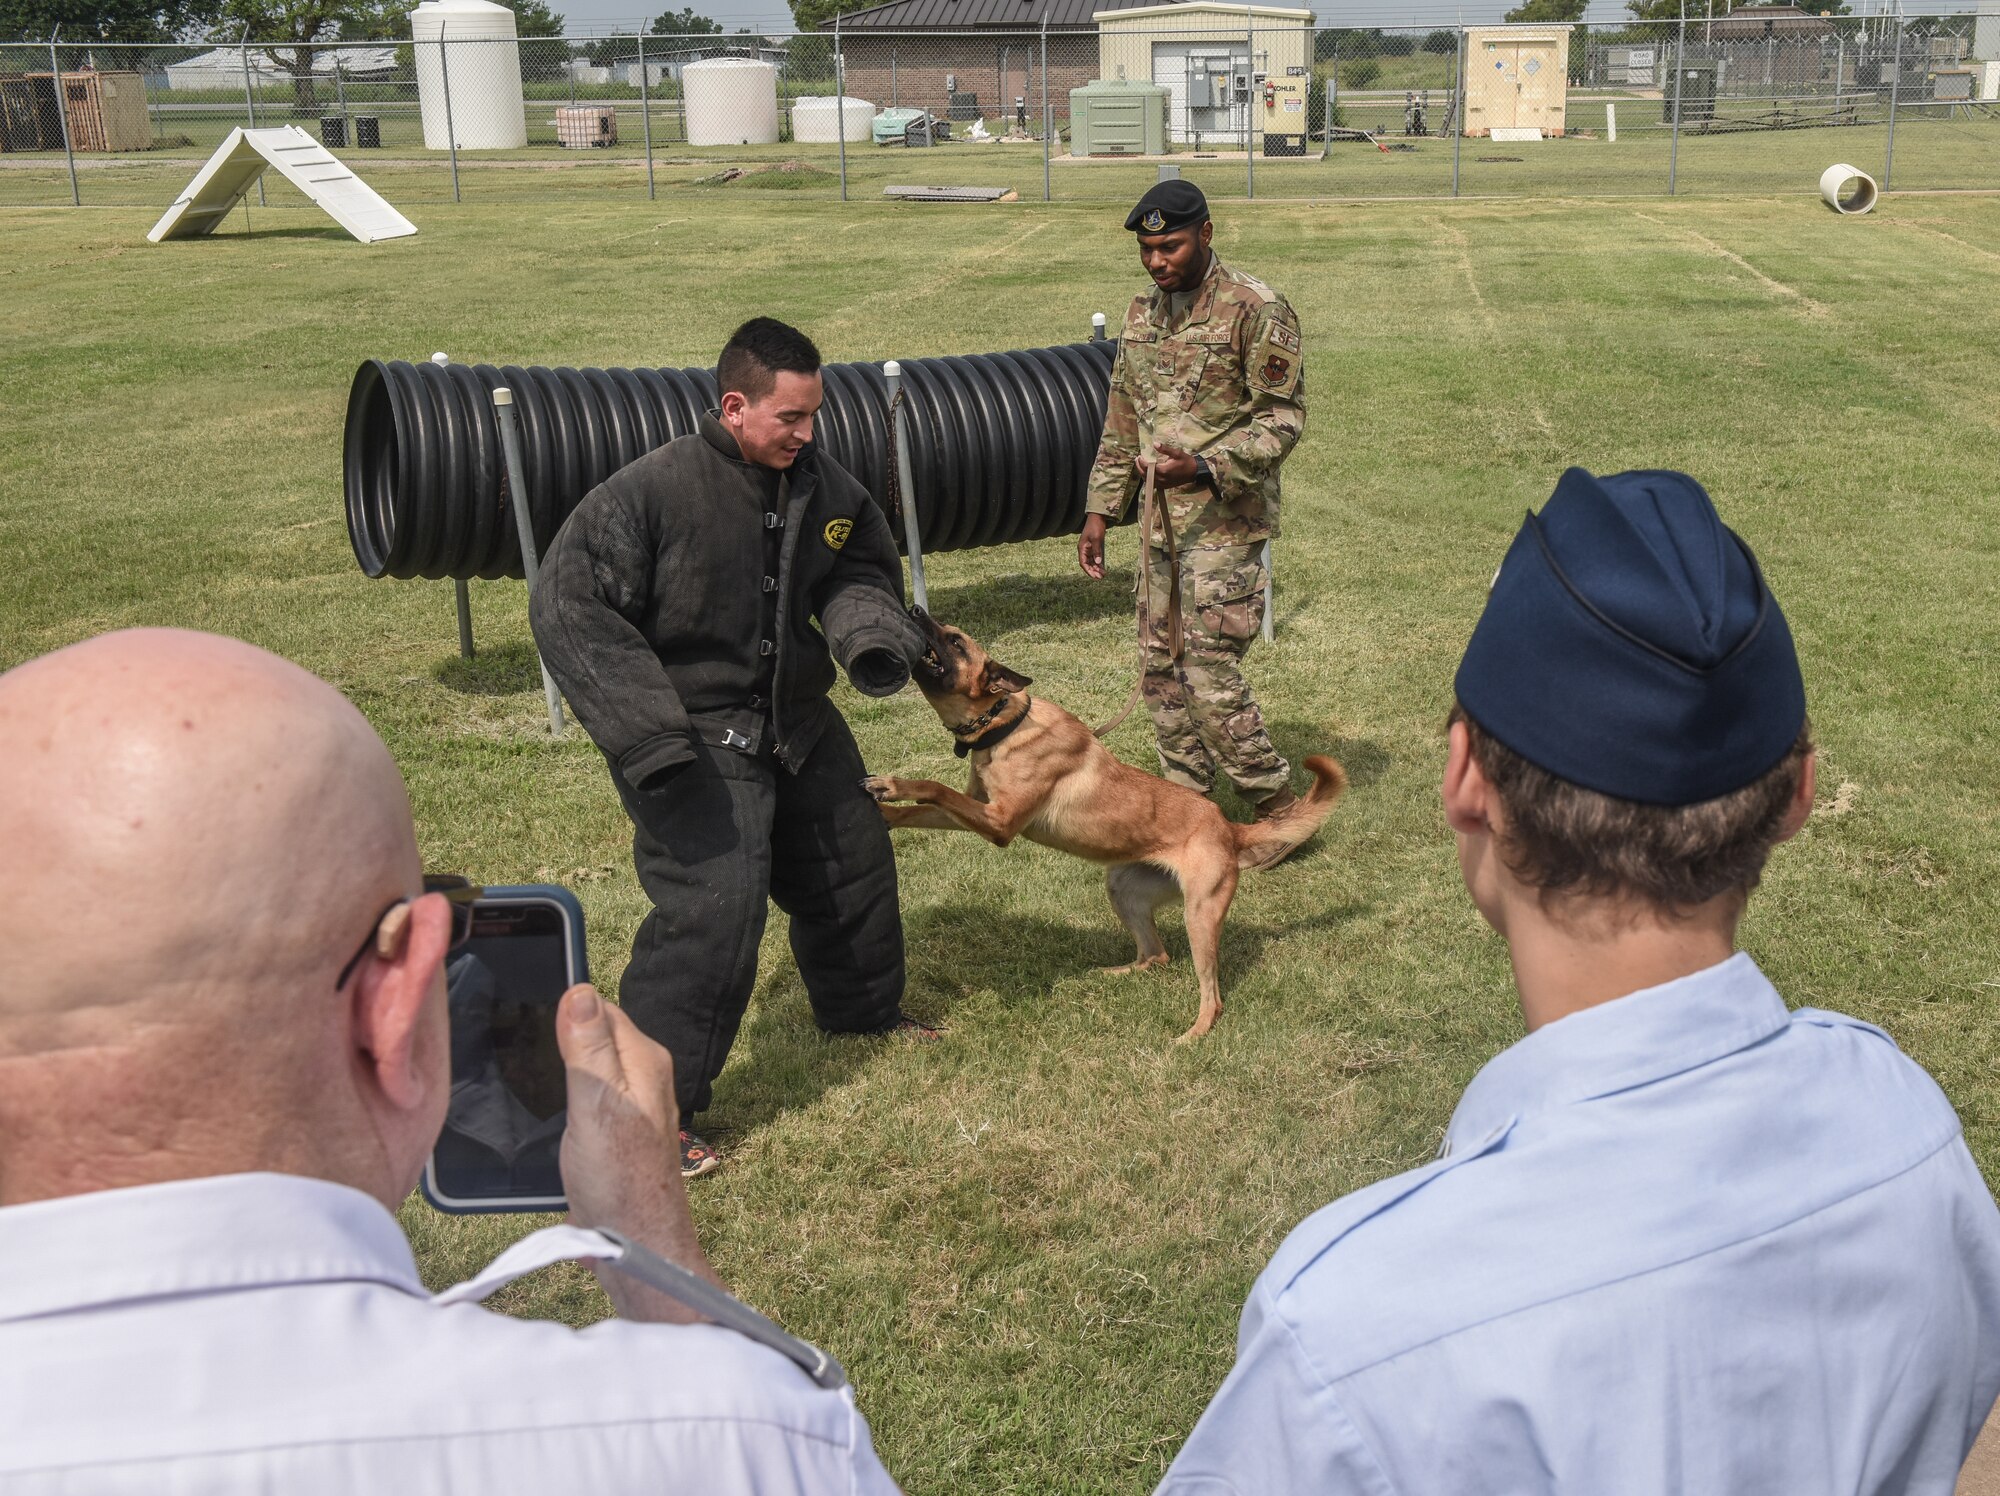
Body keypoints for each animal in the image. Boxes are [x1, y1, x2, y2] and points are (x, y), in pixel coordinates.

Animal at [860, 608, 1344, 1040]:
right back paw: (1110, 973)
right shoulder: (980, 809)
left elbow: (933, 786)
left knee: (1212, 994)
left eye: (955, 640)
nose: (913, 608)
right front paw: (888, 811)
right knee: (1156, 955)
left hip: (1200, 916)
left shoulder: (1000, 821)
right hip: (1125, 892)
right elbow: (926, 808)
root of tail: (1230, 828)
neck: (1004, 723)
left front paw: (893, 784)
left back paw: (1194, 1033)